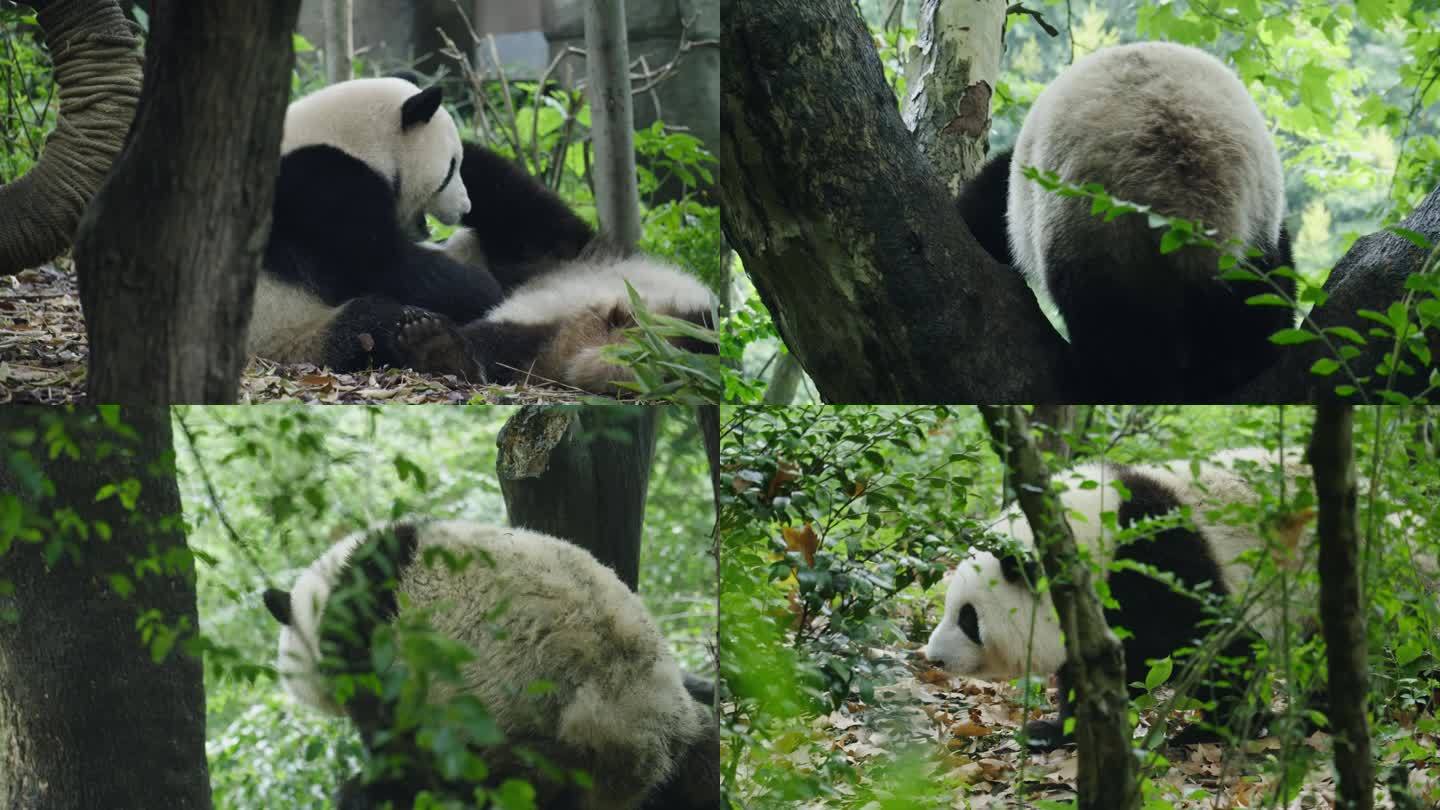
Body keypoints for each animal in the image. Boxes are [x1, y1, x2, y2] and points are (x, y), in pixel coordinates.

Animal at [253, 78, 506, 374]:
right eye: (452, 167)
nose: (465, 208)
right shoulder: (324, 185)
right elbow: (382, 265)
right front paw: (485, 288)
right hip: (292, 332)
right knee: (372, 323)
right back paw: (432, 344)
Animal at [921, 443, 1319, 749]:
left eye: (968, 618)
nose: (934, 658)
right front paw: (1052, 731)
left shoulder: (1161, 566)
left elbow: (1223, 649)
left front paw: (1219, 728)